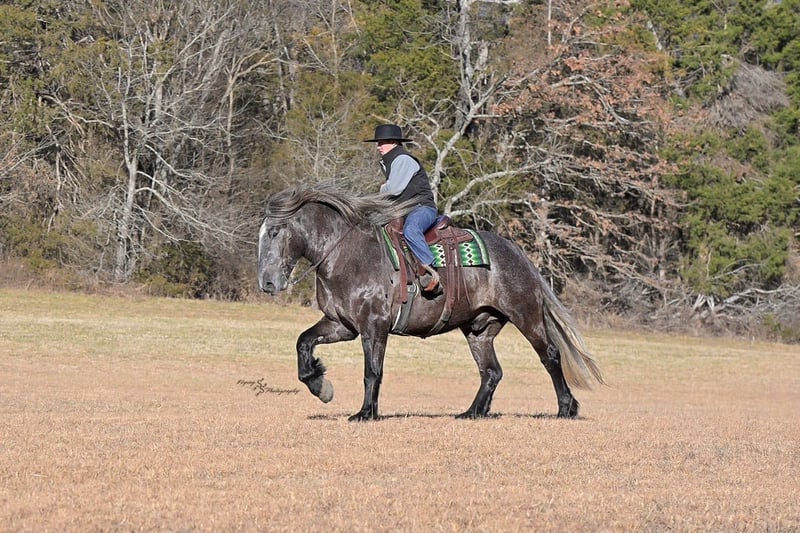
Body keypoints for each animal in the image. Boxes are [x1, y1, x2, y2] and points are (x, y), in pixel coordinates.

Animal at [257, 183, 604, 421]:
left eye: (274, 233)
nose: (268, 282)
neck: (347, 255)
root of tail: (517, 253)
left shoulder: (373, 327)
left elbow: (372, 371)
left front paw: (365, 413)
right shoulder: (341, 325)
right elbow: (303, 342)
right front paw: (320, 386)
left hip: (526, 316)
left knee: (550, 356)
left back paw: (566, 408)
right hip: (479, 329)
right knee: (491, 371)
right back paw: (472, 412)